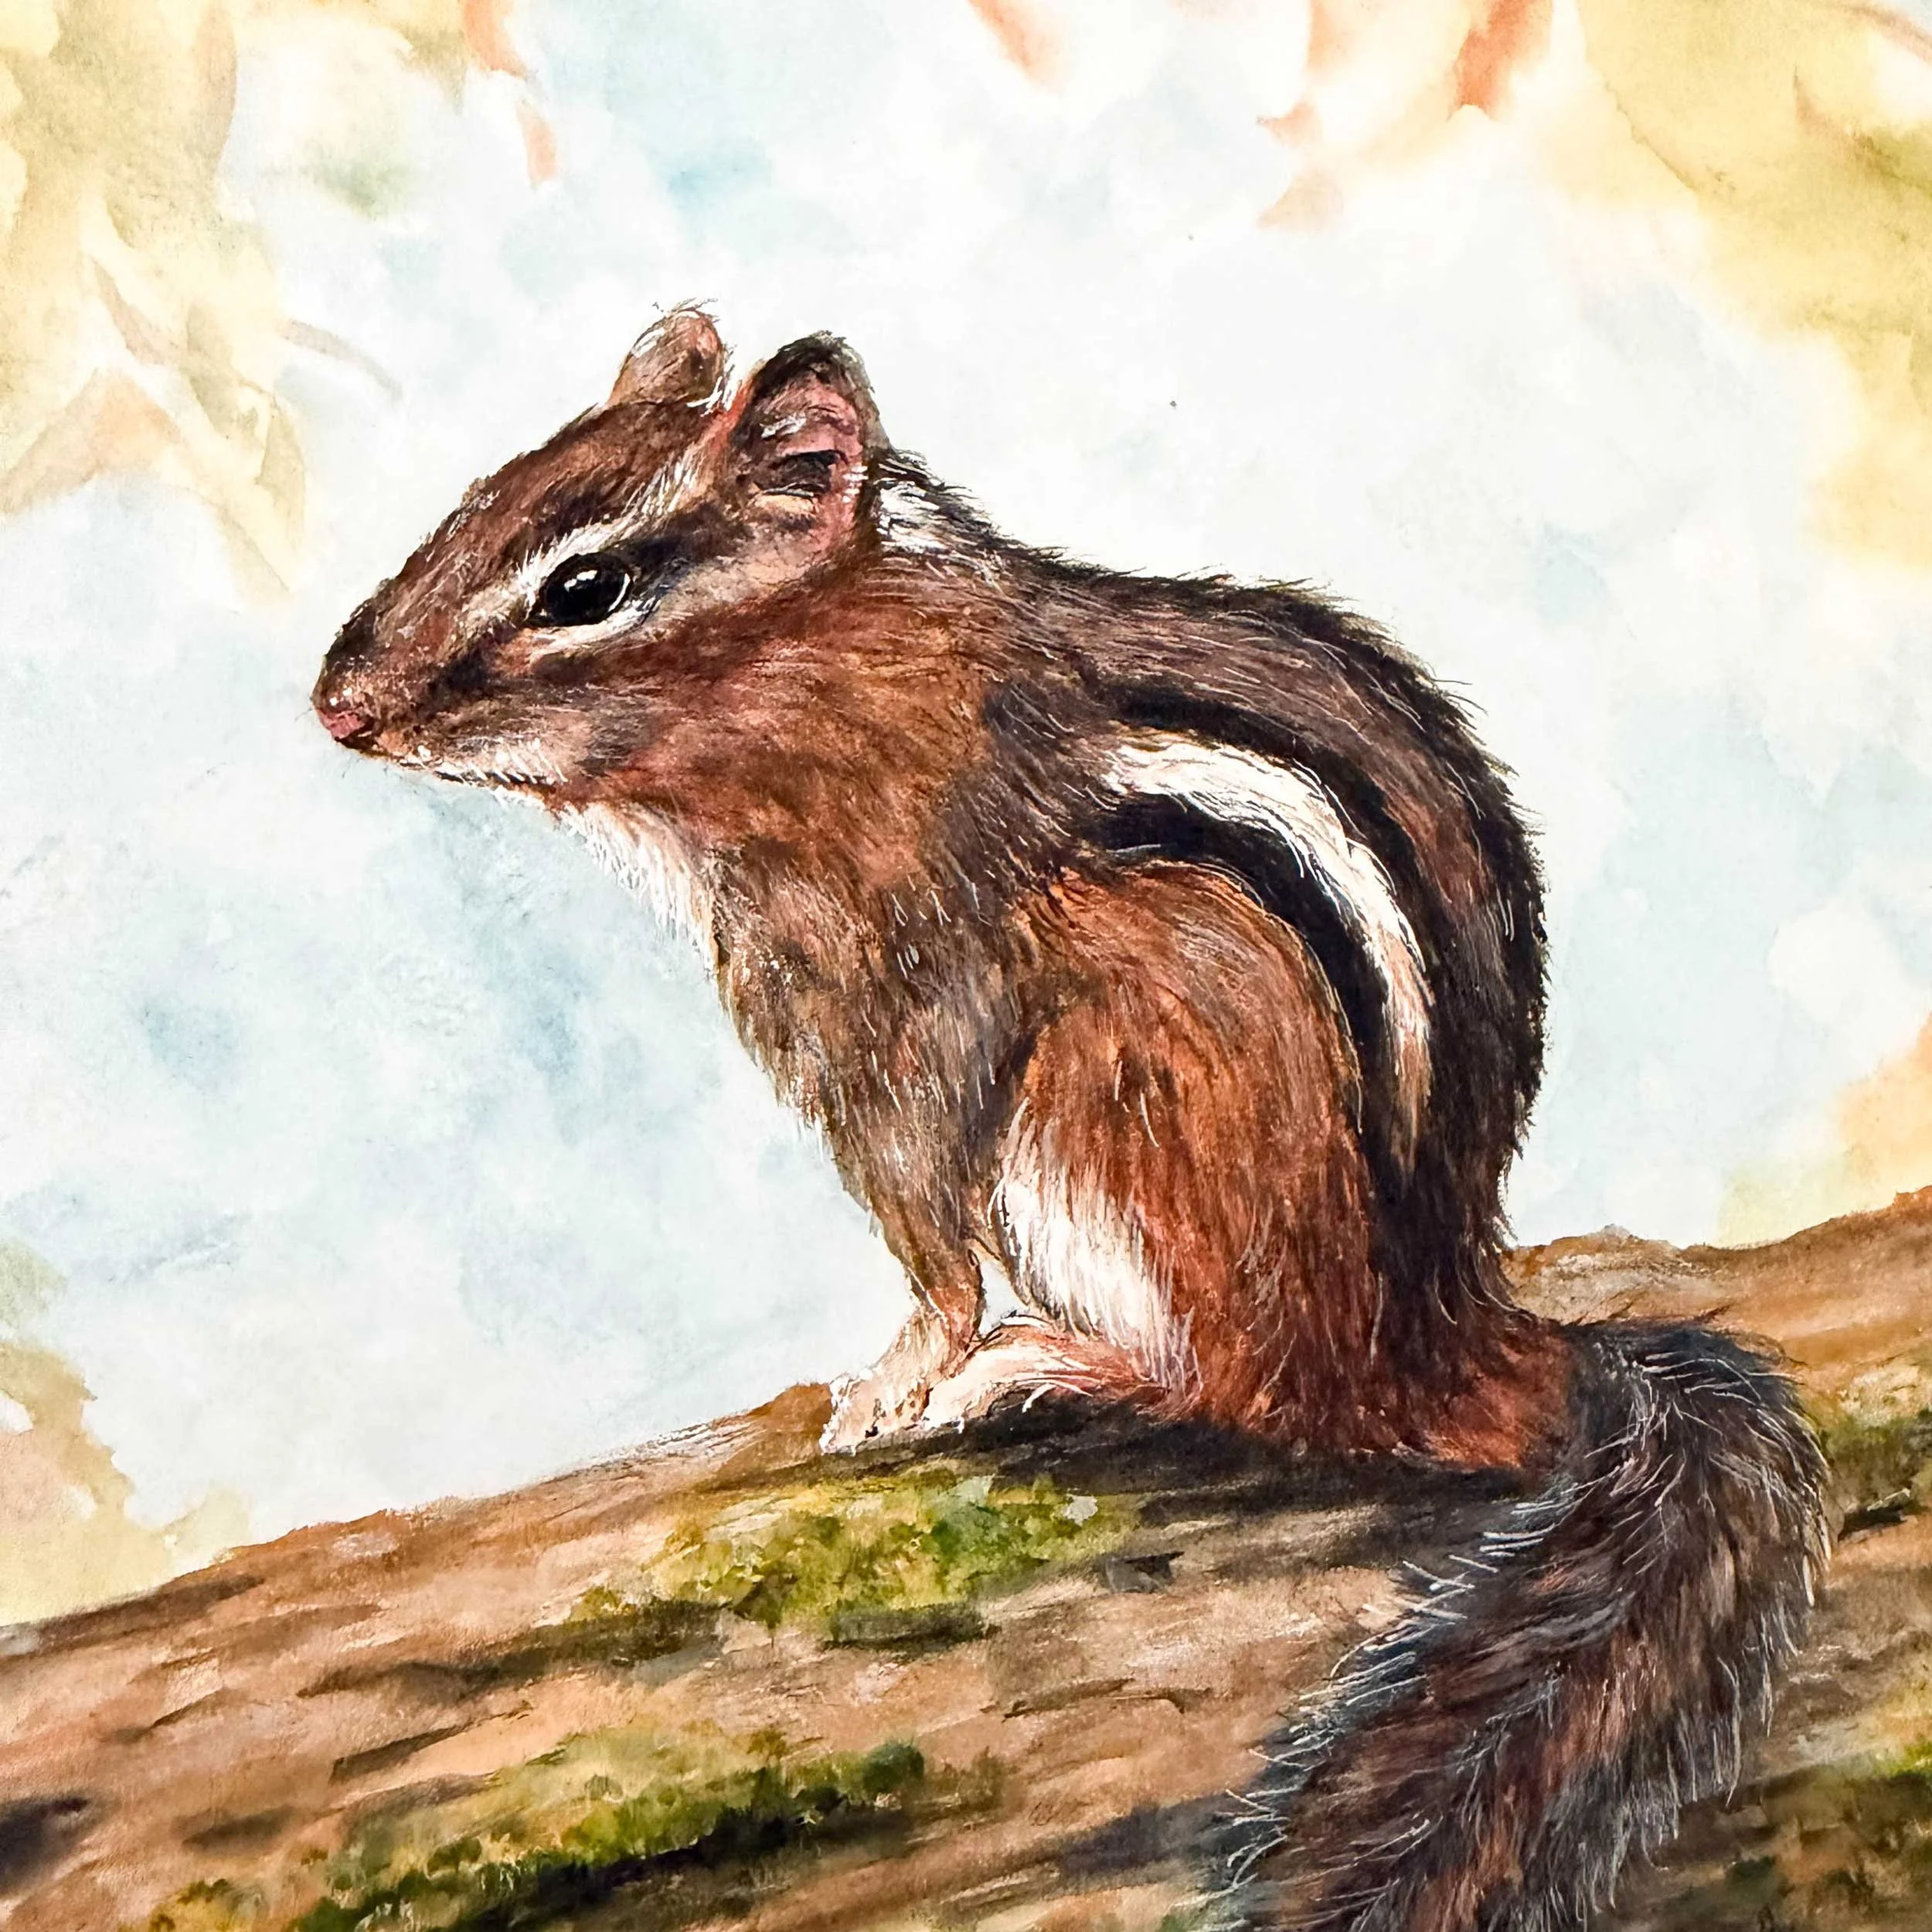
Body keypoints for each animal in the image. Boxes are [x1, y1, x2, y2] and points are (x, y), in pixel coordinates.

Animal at [313, 307, 1828, 1932]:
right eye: (477, 499)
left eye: (583, 588)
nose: (335, 703)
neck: (849, 669)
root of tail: (1438, 1334)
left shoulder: (897, 1000)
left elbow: (921, 1220)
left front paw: (902, 1377)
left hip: (1115, 1119)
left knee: (1246, 1390)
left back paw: (1043, 1366)